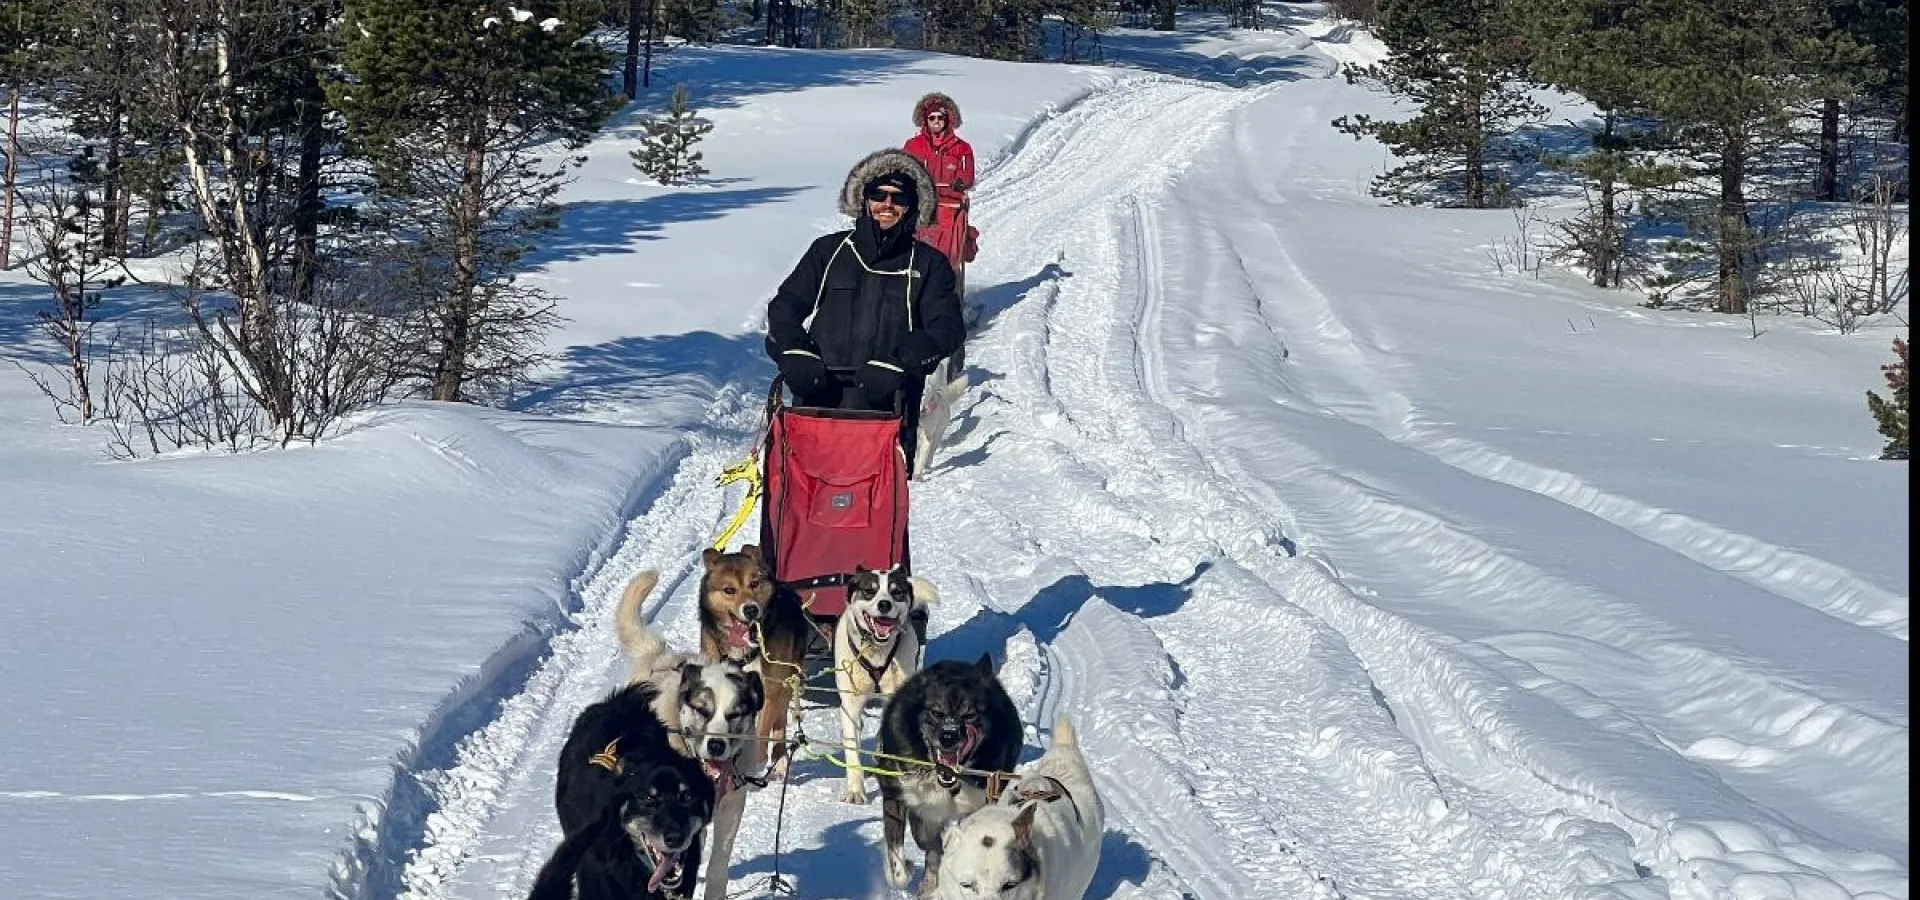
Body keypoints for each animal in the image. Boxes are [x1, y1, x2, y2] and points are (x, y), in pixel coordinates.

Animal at [614, 568, 764, 898]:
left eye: (735, 713)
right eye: (702, 709)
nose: (717, 746)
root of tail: (660, 657)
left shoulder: (731, 807)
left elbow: (719, 860)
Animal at [833, 564, 936, 802]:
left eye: (896, 592)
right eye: (869, 591)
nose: (884, 604)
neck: (876, 651)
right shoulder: (850, 704)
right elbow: (852, 746)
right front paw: (855, 790)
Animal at [875, 652, 1021, 890]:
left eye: (970, 715)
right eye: (936, 712)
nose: (948, 736)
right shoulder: (896, 796)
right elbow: (899, 867)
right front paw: (904, 869)